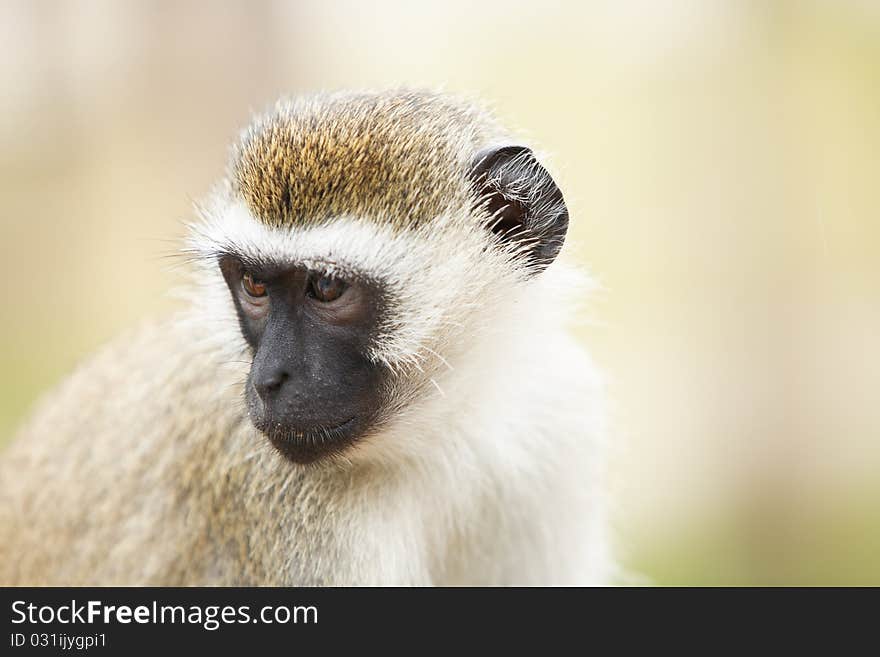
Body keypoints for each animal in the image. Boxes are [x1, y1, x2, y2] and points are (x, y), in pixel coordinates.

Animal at [0, 88, 616, 584]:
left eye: (326, 287)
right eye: (254, 284)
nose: (268, 380)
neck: (444, 430)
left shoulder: (560, 422)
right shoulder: (284, 512)